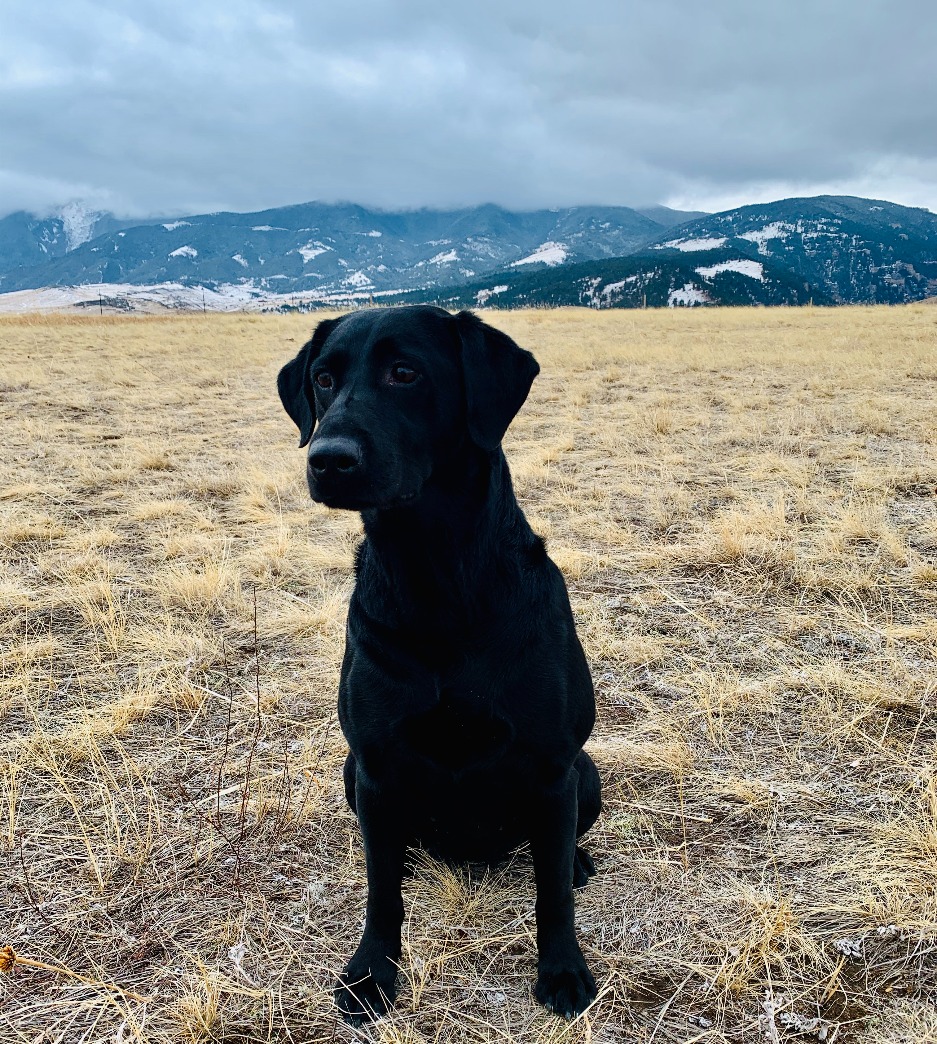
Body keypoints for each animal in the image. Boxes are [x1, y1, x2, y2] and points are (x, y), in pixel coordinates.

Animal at [277, 304, 601, 1023]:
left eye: (405, 373)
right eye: (323, 378)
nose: (327, 459)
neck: (437, 584)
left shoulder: (551, 766)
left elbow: (551, 894)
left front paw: (563, 971)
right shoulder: (374, 767)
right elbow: (381, 893)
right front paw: (371, 973)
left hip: (585, 773)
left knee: (556, 849)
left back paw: (576, 861)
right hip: (353, 778)